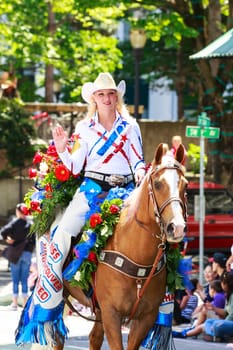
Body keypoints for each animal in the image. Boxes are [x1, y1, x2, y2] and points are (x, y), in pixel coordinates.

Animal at [62, 142, 187, 350]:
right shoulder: (112, 313)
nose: (176, 227)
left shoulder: (145, 317)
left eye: (186, 185)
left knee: (94, 337)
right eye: (158, 184)